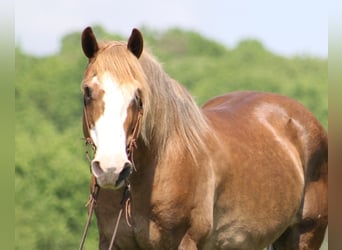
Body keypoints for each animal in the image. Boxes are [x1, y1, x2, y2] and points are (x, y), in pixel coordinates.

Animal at [81, 26, 328, 249]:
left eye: (138, 96)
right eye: (87, 92)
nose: (111, 169)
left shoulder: (187, 240)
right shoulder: (113, 241)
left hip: (304, 235)